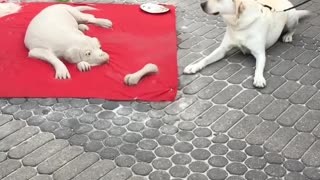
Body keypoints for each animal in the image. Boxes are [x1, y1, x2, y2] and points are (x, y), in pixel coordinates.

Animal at [184, 0, 312, 88]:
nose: (201, 4)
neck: (238, 24)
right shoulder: (222, 49)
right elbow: (206, 58)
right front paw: (194, 66)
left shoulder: (260, 53)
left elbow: (259, 67)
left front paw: (259, 78)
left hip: (291, 18)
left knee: (293, 29)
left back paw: (288, 35)